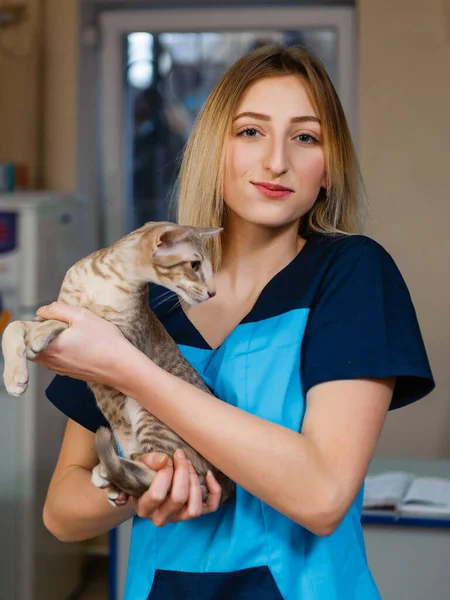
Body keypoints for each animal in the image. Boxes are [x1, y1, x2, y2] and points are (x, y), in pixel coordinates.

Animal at [1, 223, 236, 508]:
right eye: (195, 265)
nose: (213, 292)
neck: (106, 278)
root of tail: (224, 479)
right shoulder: (49, 311)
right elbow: (13, 326)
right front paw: (14, 376)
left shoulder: (124, 337)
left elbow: (79, 319)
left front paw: (38, 338)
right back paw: (114, 479)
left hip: (150, 414)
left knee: (167, 473)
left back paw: (109, 469)